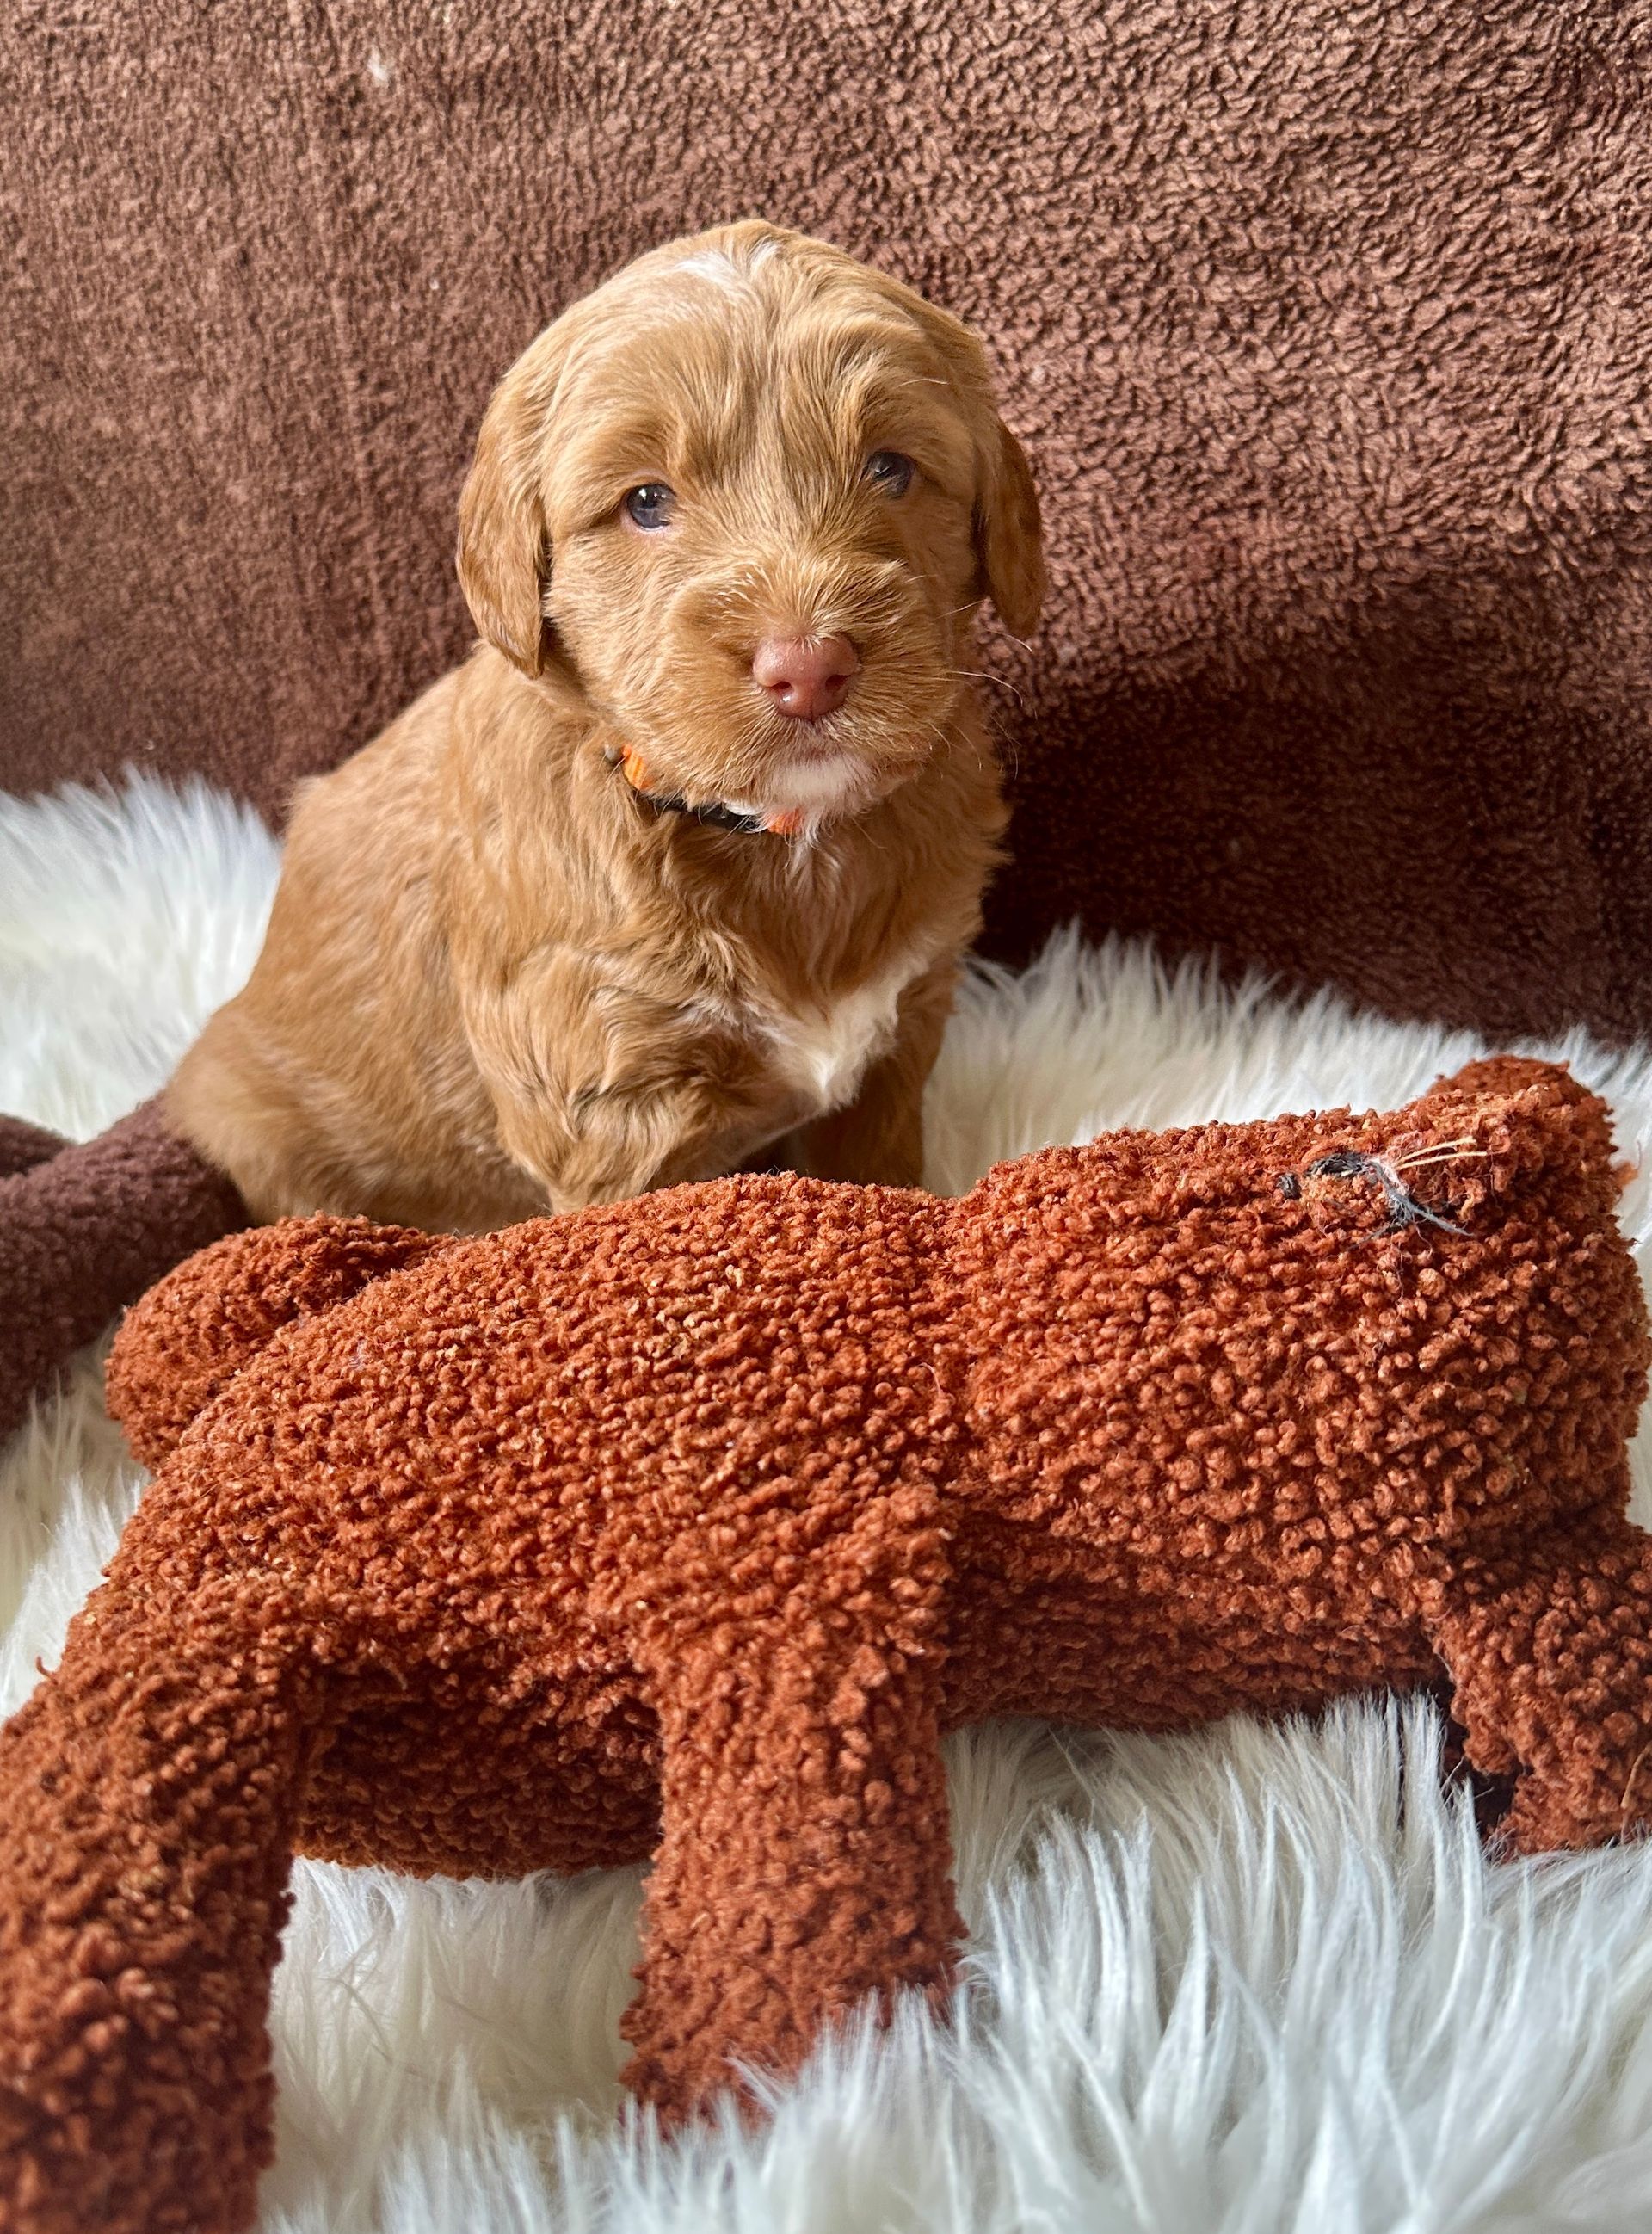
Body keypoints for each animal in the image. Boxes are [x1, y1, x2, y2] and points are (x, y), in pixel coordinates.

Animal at [167, 220, 1045, 1230]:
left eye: (891, 468)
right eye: (646, 501)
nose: (808, 668)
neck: (783, 845)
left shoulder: (903, 1034)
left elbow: (883, 1166)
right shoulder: (612, 1104)